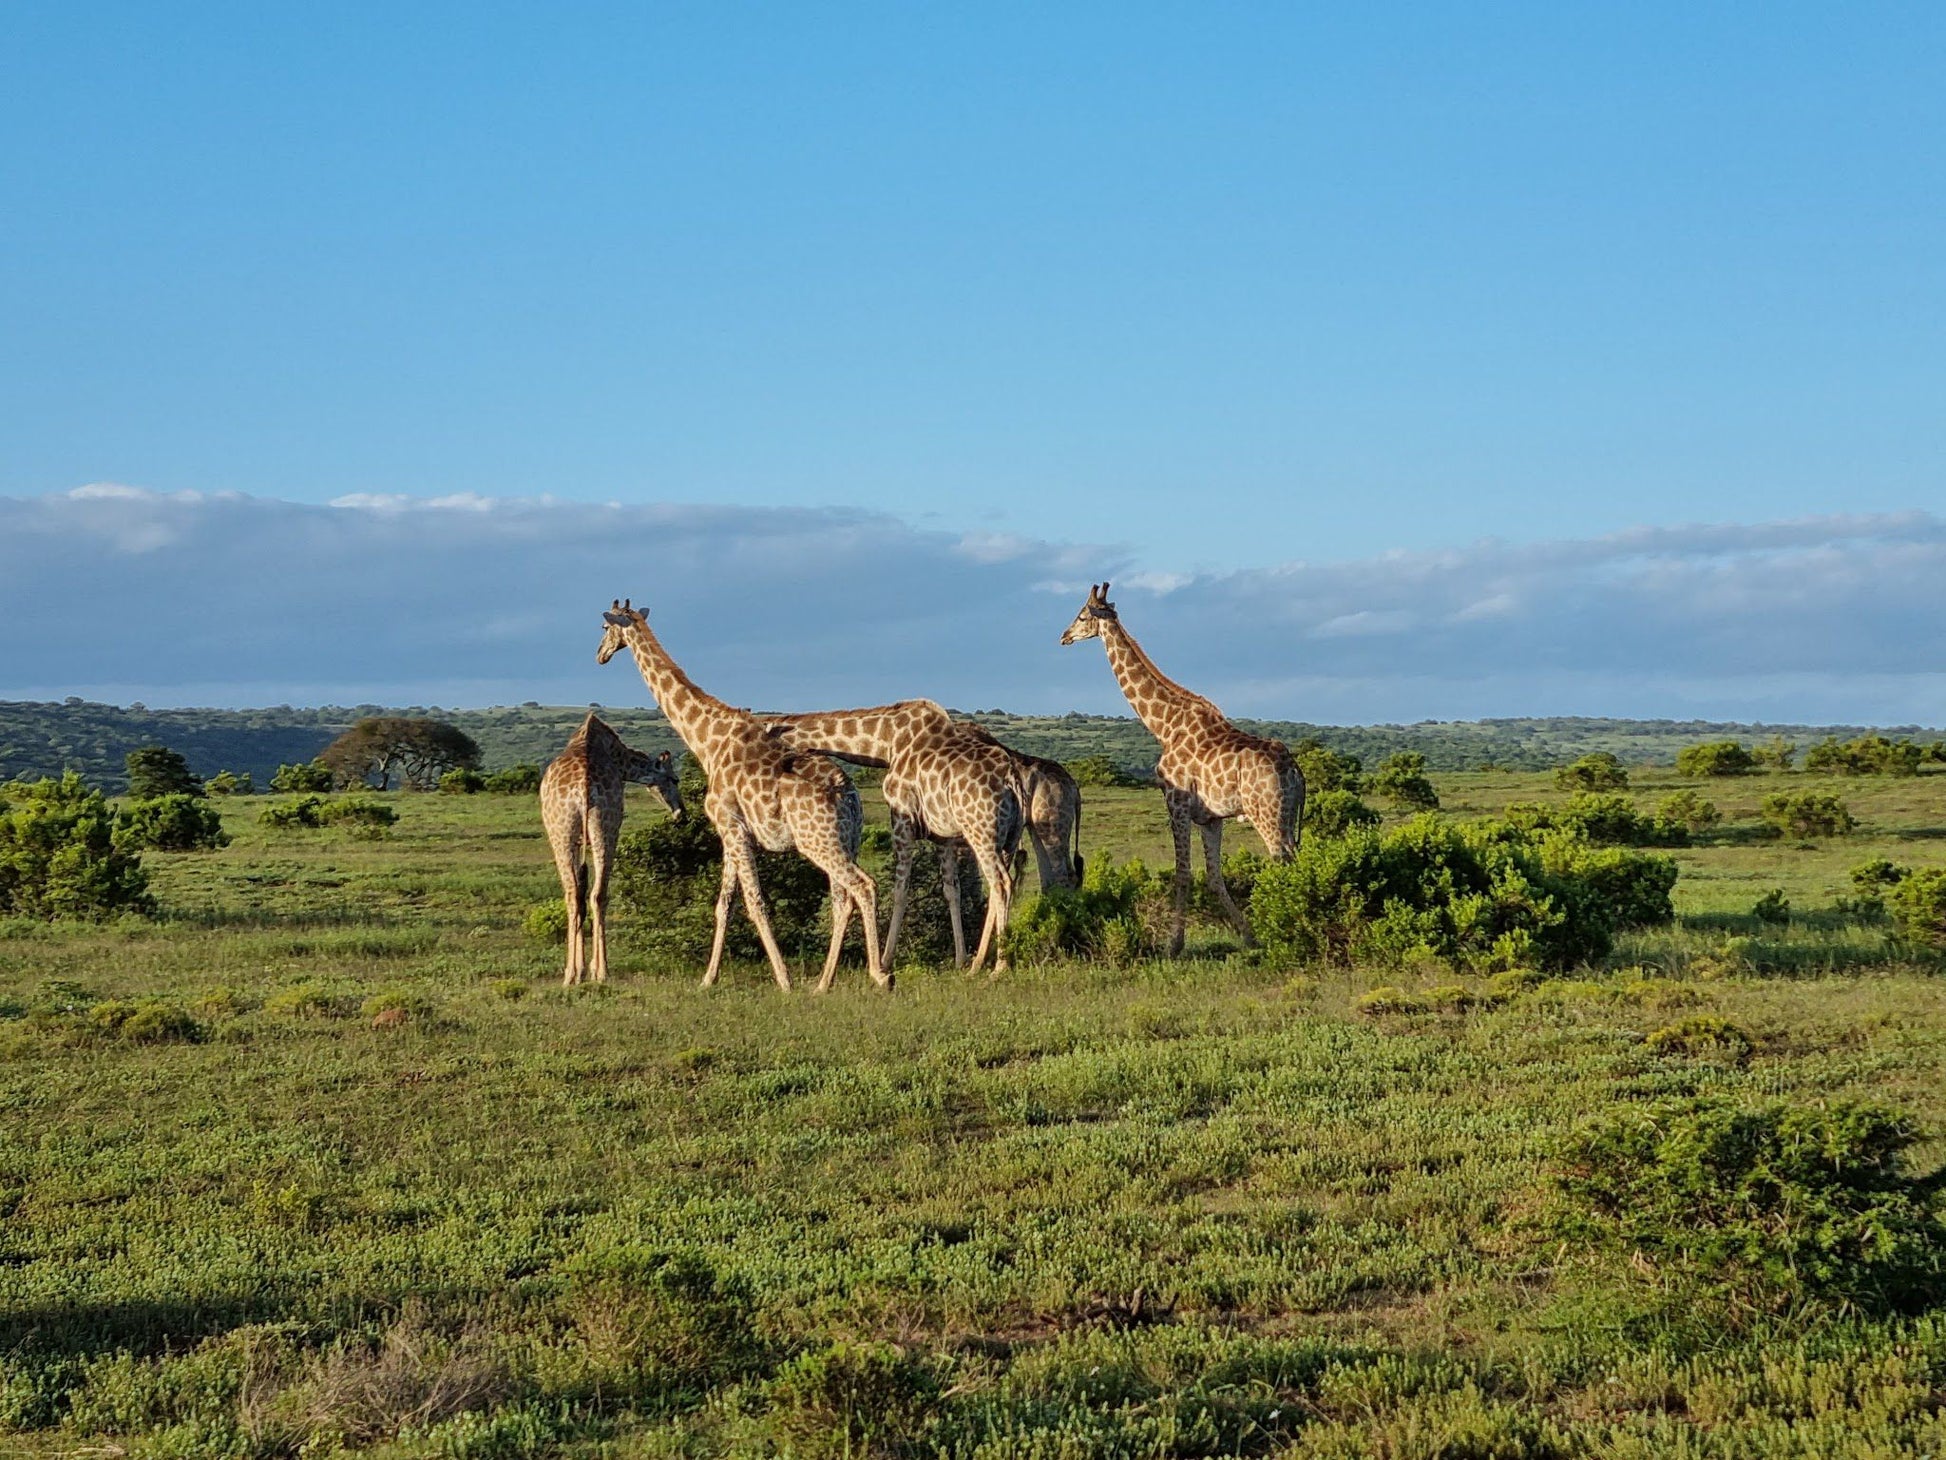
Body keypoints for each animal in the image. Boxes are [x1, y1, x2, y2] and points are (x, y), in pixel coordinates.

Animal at [537, 716, 681, 988]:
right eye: (674, 779)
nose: (681, 811)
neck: (619, 758)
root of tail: (582, 785)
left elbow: (580, 894)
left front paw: (581, 969)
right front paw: (589, 968)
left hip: (562, 832)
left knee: (575, 895)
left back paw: (571, 974)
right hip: (607, 827)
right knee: (598, 894)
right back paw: (601, 971)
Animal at [599, 595, 891, 996]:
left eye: (604, 627)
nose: (600, 654)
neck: (707, 740)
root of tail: (846, 793)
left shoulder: (731, 826)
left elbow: (754, 902)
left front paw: (784, 979)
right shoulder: (732, 831)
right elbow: (724, 903)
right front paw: (708, 978)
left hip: (818, 841)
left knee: (862, 886)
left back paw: (881, 974)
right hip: (849, 838)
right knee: (842, 898)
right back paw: (823, 983)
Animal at [758, 704, 1035, 977]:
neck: (886, 742)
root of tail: (1012, 779)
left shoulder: (901, 818)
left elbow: (900, 888)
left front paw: (885, 960)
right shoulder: (943, 836)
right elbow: (952, 891)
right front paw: (960, 960)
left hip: (981, 833)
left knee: (1001, 883)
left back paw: (1000, 966)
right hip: (1008, 839)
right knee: (1002, 886)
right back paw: (979, 962)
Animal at [1058, 584, 1299, 961]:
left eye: (1082, 615)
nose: (1064, 637)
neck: (1163, 725)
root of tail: (1293, 768)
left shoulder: (1177, 803)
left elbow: (1182, 872)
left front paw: (1174, 945)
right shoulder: (1211, 818)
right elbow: (1214, 876)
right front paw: (1249, 937)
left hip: (1266, 814)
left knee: (1280, 860)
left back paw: (1288, 932)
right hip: (1287, 816)